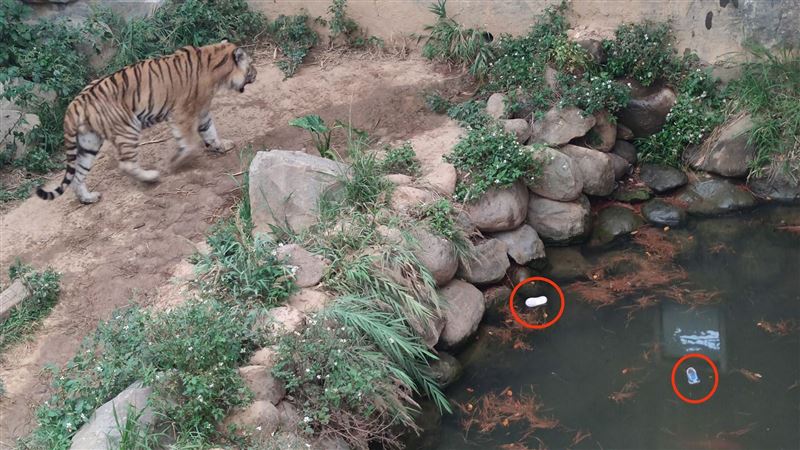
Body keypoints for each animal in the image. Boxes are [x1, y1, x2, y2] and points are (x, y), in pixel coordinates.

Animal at [36, 40, 257, 204]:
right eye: (251, 65)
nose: (255, 74)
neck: (215, 63)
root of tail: (76, 103)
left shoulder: (202, 112)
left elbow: (210, 132)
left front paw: (222, 146)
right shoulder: (182, 113)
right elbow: (190, 142)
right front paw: (175, 163)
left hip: (88, 142)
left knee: (78, 176)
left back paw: (88, 198)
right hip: (128, 128)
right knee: (125, 164)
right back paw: (151, 177)